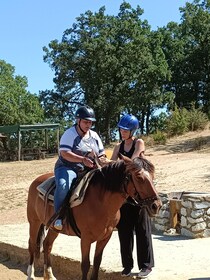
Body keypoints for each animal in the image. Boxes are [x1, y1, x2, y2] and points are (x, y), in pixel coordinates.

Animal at [26, 154, 162, 278]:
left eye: (153, 175)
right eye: (139, 177)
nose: (156, 205)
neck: (101, 202)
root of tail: (36, 181)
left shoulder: (105, 237)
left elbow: (97, 263)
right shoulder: (85, 238)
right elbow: (86, 265)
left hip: (54, 228)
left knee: (47, 245)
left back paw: (49, 275)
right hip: (34, 222)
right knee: (32, 245)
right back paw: (30, 275)